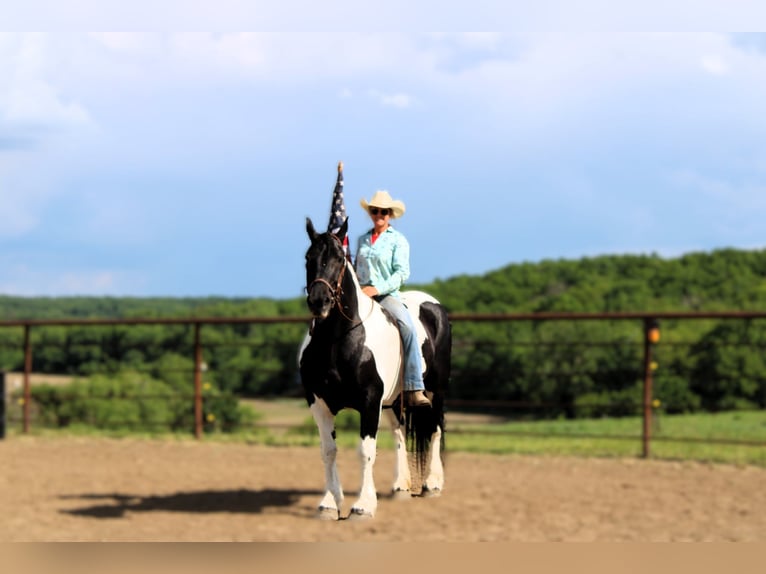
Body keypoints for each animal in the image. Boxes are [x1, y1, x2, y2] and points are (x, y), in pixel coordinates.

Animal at [298, 217, 451, 520]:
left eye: (339, 258)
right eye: (308, 258)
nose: (319, 301)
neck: (338, 340)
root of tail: (435, 306)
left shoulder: (369, 401)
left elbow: (366, 450)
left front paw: (363, 506)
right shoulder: (318, 403)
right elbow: (328, 451)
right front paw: (329, 503)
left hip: (435, 391)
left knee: (436, 429)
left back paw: (432, 484)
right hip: (393, 401)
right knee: (399, 432)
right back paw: (401, 486)